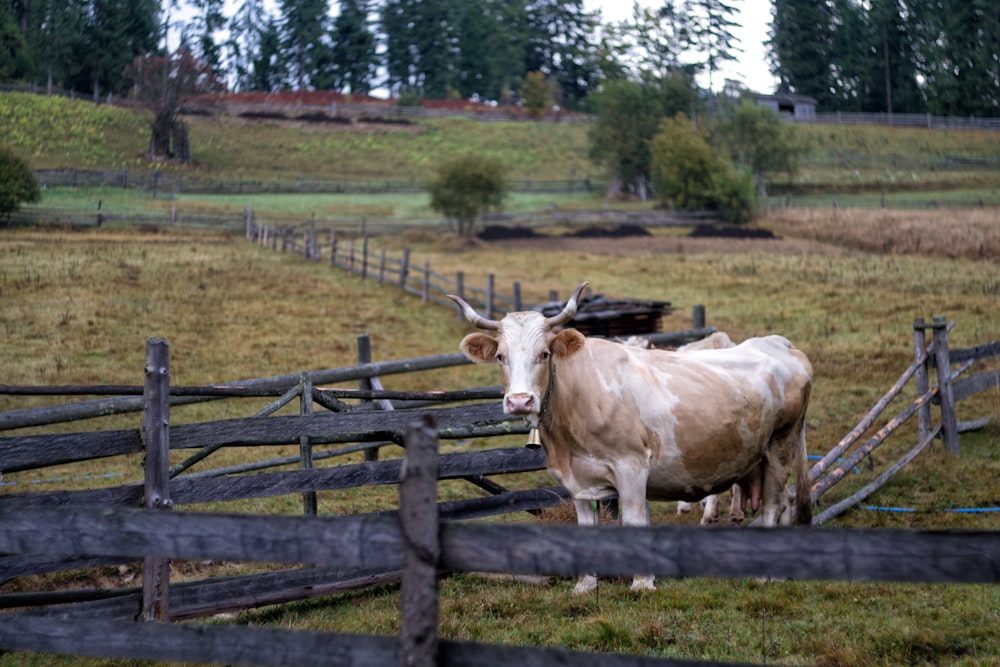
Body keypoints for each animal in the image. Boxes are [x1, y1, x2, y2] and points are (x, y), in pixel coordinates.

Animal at [450, 280, 816, 588]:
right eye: (501, 356)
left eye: (544, 353)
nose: (519, 400)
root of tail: (778, 343)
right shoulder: (577, 480)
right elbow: (585, 530)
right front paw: (585, 585)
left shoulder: (632, 468)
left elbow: (635, 523)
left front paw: (642, 583)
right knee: (782, 503)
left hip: (781, 446)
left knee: (773, 505)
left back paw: (766, 576)